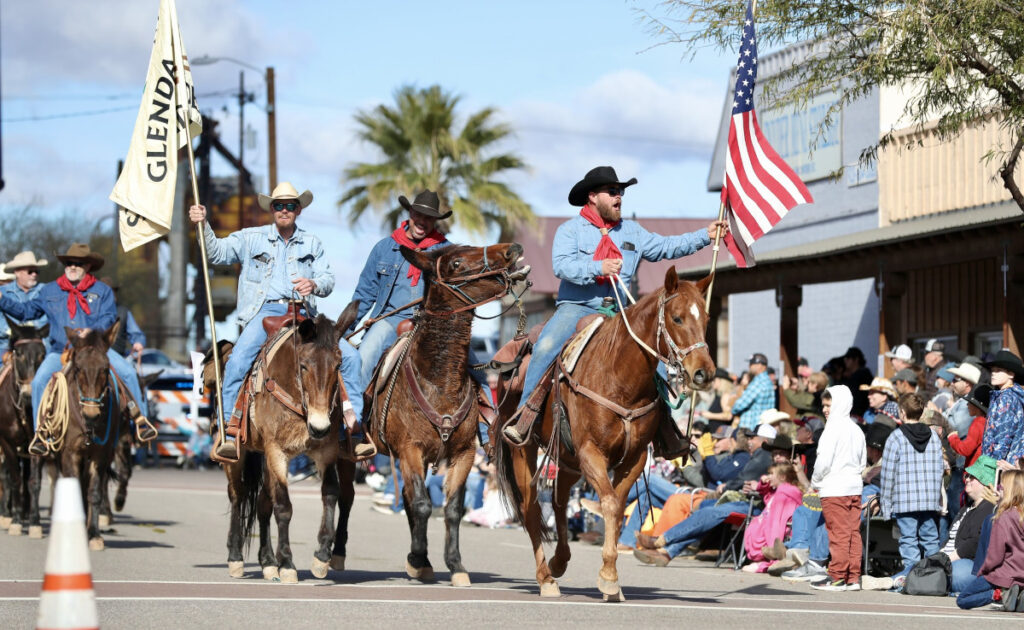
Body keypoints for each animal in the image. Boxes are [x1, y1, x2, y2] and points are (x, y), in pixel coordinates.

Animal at [204, 307, 360, 585]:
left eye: (339, 365)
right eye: (304, 365)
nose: (319, 426)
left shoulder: (326, 451)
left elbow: (330, 494)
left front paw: (321, 556)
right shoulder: (277, 452)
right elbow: (284, 507)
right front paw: (287, 563)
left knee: (262, 504)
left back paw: (267, 562)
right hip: (239, 457)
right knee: (238, 496)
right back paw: (235, 558)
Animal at [364, 242, 524, 585]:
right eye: (457, 263)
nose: (512, 248)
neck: (439, 382)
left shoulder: (463, 453)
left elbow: (450, 508)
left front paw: (454, 564)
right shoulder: (410, 449)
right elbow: (423, 505)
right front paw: (419, 559)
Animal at [493, 268, 712, 602]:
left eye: (707, 318)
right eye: (676, 318)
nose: (704, 373)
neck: (619, 377)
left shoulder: (633, 458)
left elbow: (617, 508)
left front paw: (610, 576)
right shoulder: (591, 453)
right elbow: (608, 503)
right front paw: (609, 577)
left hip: (568, 460)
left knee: (559, 501)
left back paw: (559, 561)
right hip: (524, 451)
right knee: (531, 510)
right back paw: (546, 578)